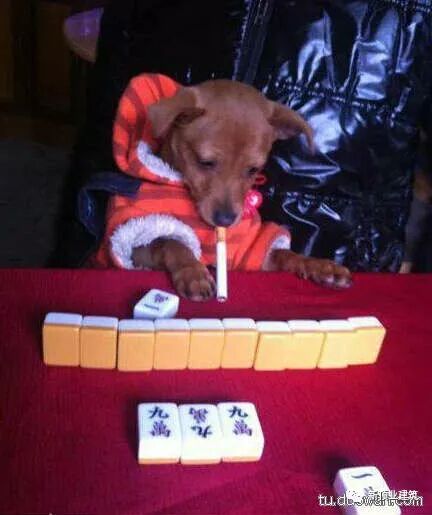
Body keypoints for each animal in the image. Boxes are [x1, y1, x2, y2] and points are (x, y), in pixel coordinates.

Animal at [94, 74, 352, 300]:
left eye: (253, 170)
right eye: (205, 162)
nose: (226, 220)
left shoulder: (248, 257)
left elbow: (283, 254)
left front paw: (320, 266)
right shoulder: (131, 245)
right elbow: (170, 242)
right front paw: (193, 270)